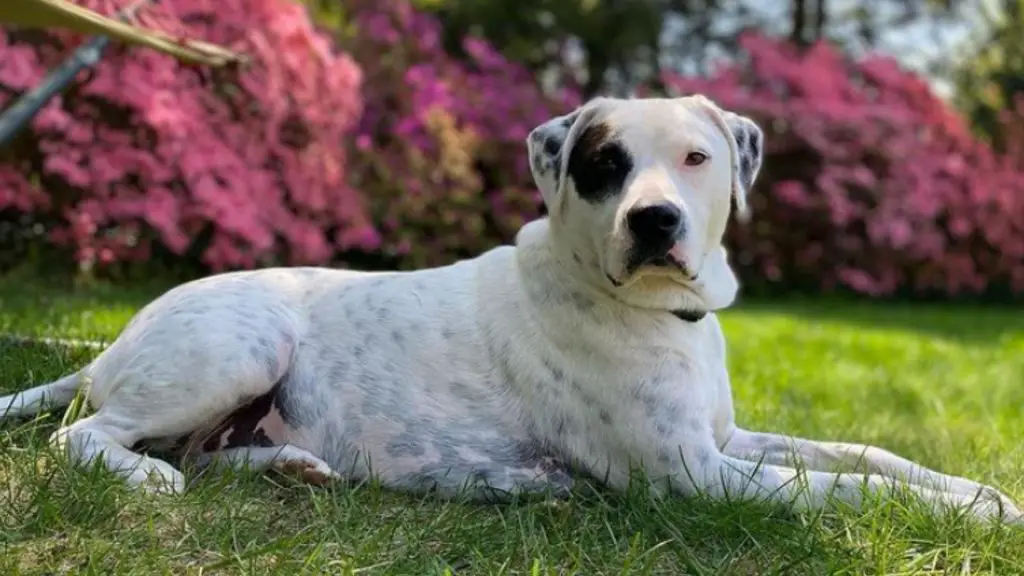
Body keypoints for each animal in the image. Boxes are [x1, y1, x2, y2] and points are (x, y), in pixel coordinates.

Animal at [2, 94, 1024, 520]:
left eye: (697, 157)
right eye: (605, 162)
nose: (655, 220)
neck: (655, 313)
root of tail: (110, 345)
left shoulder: (730, 441)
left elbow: (868, 453)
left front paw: (979, 490)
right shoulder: (699, 476)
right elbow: (855, 488)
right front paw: (974, 518)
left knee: (203, 453)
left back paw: (292, 467)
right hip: (242, 345)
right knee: (88, 438)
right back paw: (147, 479)